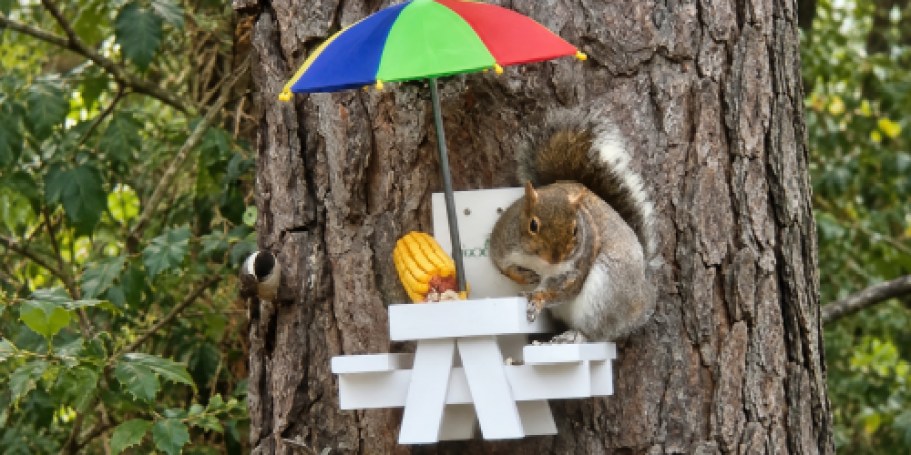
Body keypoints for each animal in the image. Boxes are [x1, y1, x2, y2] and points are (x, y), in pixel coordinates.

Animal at [489, 108, 657, 343]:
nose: (555, 258)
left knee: (599, 332)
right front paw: (523, 276)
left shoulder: (576, 268)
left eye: (575, 229)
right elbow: (501, 265)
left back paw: (574, 336)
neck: (540, 263)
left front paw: (537, 298)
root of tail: (644, 294)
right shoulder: (502, 240)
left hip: (605, 293)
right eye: (533, 225)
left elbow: (562, 291)